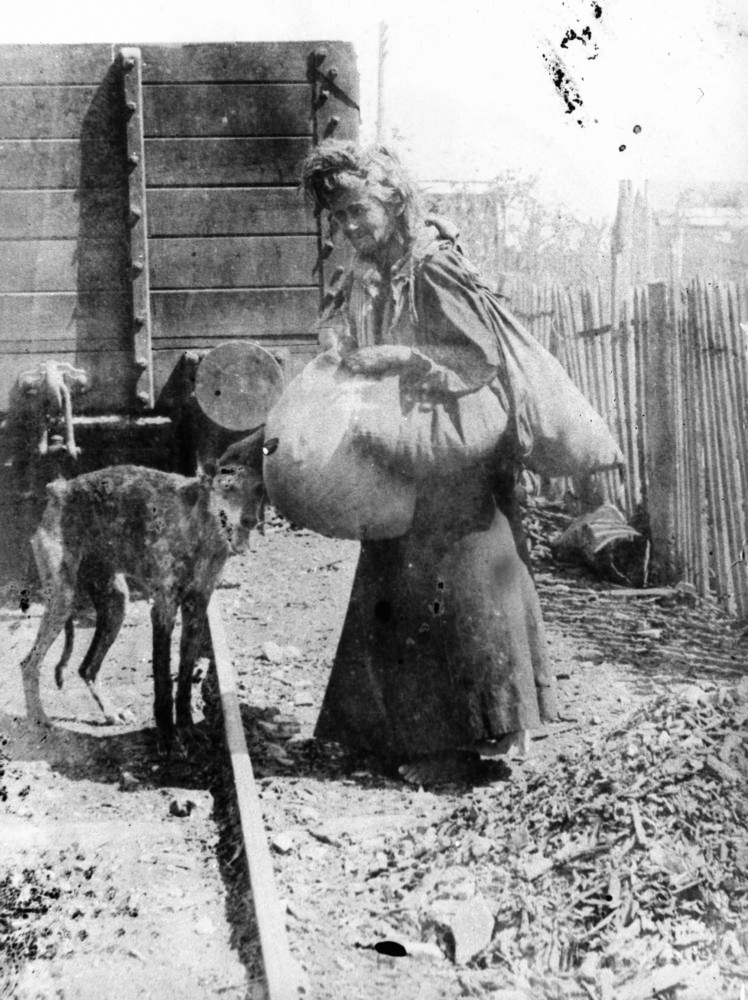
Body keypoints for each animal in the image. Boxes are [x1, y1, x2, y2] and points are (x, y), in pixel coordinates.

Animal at [20, 429, 265, 751]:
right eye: (228, 488)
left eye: (259, 490)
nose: (250, 521)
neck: (198, 526)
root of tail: (59, 489)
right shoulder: (162, 610)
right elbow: (162, 679)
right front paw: (167, 736)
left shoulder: (196, 611)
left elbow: (183, 678)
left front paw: (186, 728)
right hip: (62, 601)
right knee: (28, 664)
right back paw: (38, 719)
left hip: (116, 605)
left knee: (87, 668)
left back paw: (110, 712)